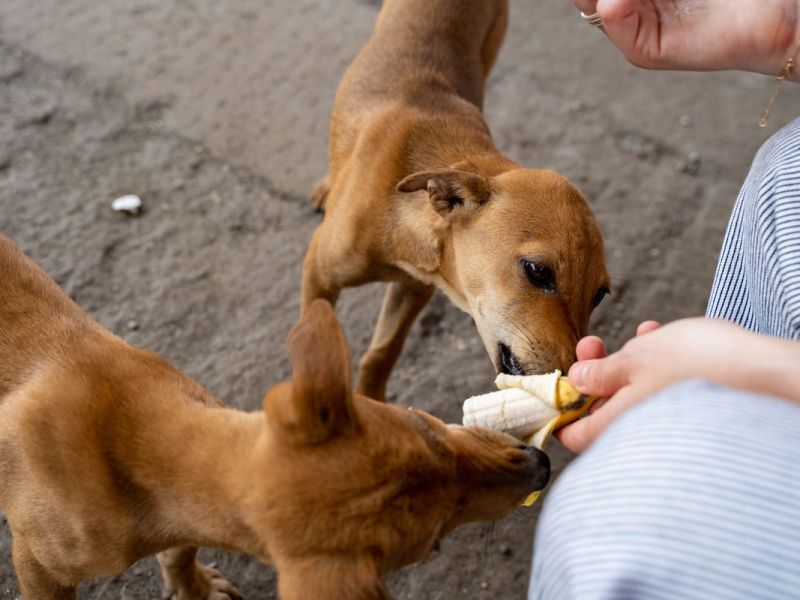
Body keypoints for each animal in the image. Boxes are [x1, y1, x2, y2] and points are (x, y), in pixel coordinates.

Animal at [0, 236, 552, 600]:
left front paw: (192, 587)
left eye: (428, 429)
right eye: (436, 536)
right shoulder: (38, 564)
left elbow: (180, 550)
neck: (135, 442)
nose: (542, 465)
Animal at [304, 0, 608, 400]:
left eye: (600, 294)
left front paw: (372, 403)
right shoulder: (318, 273)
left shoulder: (414, 288)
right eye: (537, 271)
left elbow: (383, 352)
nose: (580, 388)